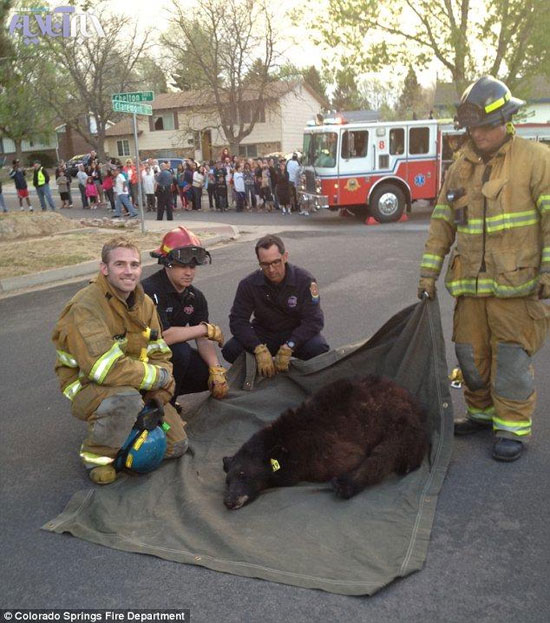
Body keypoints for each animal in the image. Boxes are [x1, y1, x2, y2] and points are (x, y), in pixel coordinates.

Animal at [222, 378, 430, 510]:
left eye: (243, 475)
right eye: (227, 480)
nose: (229, 501)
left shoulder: (326, 450)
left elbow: (355, 459)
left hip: (400, 422)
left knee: (386, 453)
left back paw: (346, 485)